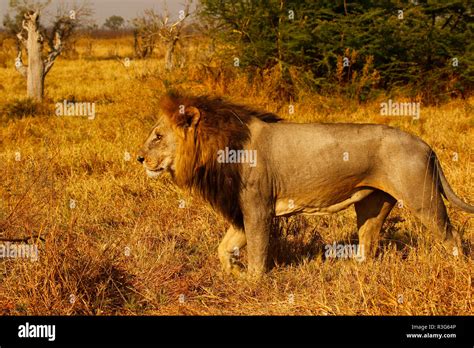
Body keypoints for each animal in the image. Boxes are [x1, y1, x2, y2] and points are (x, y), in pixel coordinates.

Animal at [138, 92, 474, 278]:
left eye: (158, 136)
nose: (139, 158)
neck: (217, 146)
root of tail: (426, 145)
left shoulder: (258, 208)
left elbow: (258, 250)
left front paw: (252, 281)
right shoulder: (241, 210)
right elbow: (223, 248)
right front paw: (233, 272)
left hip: (422, 198)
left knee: (452, 236)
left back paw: (457, 268)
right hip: (373, 203)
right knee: (369, 242)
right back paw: (354, 270)